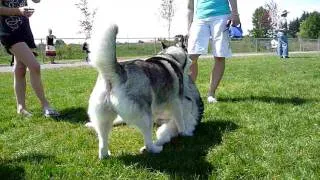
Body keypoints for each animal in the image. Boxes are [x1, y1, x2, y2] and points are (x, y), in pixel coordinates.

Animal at [87, 23, 202, 159]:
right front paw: (184, 132)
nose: (191, 63)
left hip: (103, 118)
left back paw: (104, 154)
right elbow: (180, 121)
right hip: (146, 117)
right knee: (148, 140)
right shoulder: (176, 102)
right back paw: (154, 149)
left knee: (102, 140)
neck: (170, 57)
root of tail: (117, 72)